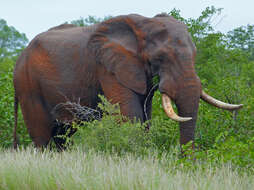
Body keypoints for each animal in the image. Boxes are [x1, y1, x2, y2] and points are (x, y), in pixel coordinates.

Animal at [12, 13, 243, 150]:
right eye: (161, 58)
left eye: (195, 55)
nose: (185, 164)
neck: (144, 25)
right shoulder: (107, 66)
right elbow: (131, 115)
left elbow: (145, 116)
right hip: (28, 85)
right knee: (42, 135)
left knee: (62, 135)